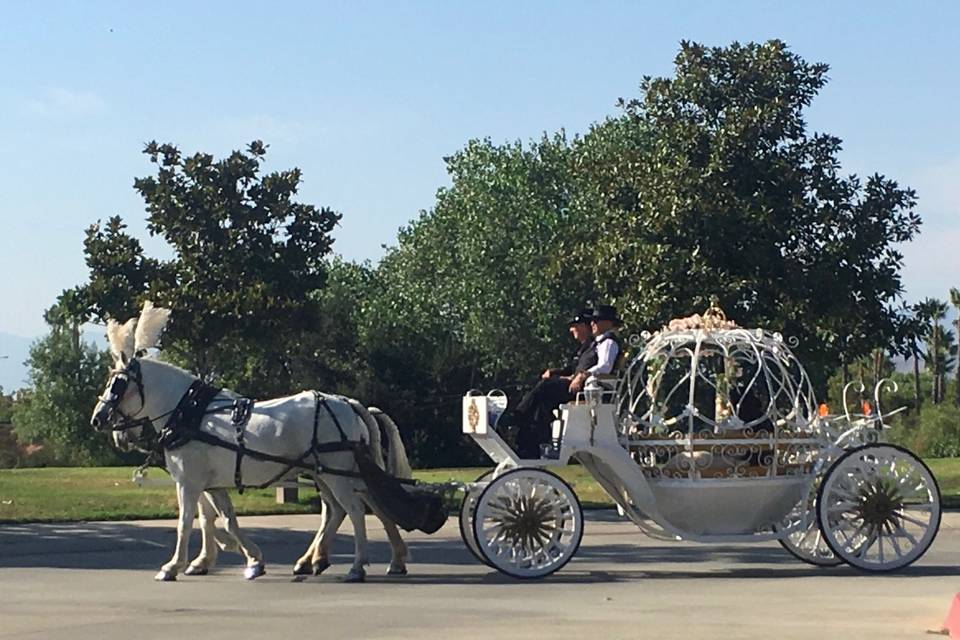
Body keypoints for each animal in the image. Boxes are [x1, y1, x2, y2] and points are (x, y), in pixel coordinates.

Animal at [92, 302, 414, 584]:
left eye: (117, 385)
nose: (98, 418)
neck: (188, 412)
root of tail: (347, 403)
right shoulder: (212, 484)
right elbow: (222, 519)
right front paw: (247, 559)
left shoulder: (188, 482)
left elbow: (186, 522)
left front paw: (173, 566)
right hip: (327, 474)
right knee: (341, 510)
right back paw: (323, 560)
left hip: (338, 475)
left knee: (356, 510)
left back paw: (357, 566)